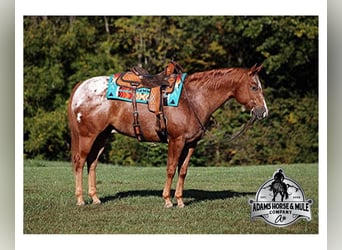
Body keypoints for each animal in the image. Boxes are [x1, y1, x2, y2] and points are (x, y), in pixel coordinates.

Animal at [68, 64, 268, 207]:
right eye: (253, 87)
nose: (264, 112)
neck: (193, 99)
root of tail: (80, 88)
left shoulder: (191, 143)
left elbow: (183, 171)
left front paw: (179, 201)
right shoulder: (176, 140)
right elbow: (171, 168)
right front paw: (167, 200)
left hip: (102, 136)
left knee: (92, 163)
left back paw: (95, 198)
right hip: (87, 136)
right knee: (80, 162)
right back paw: (80, 200)